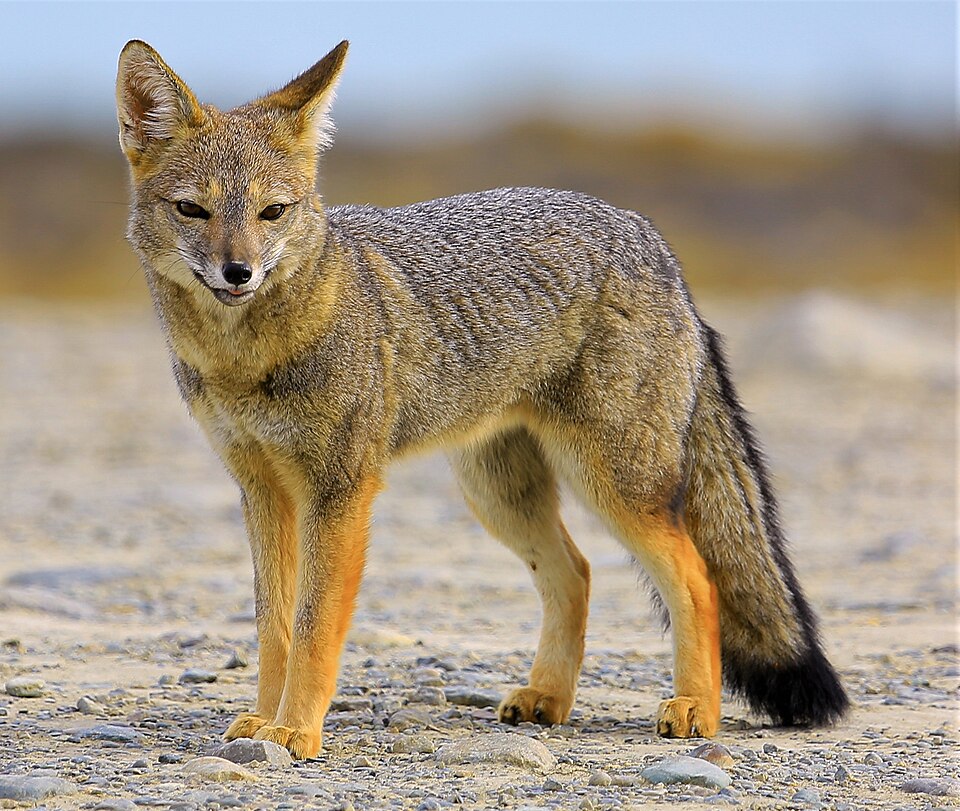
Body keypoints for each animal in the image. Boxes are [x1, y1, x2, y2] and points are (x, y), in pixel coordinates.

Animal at [115, 39, 848, 759]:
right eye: (193, 210)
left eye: (273, 212)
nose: (237, 272)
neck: (246, 359)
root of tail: (651, 237)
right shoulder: (262, 490)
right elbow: (275, 625)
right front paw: (264, 721)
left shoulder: (339, 489)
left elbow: (316, 625)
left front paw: (296, 731)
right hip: (499, 494)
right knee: (576, 572)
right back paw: (548, 697)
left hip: (613, 485)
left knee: (697, 579)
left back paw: (697, 707)